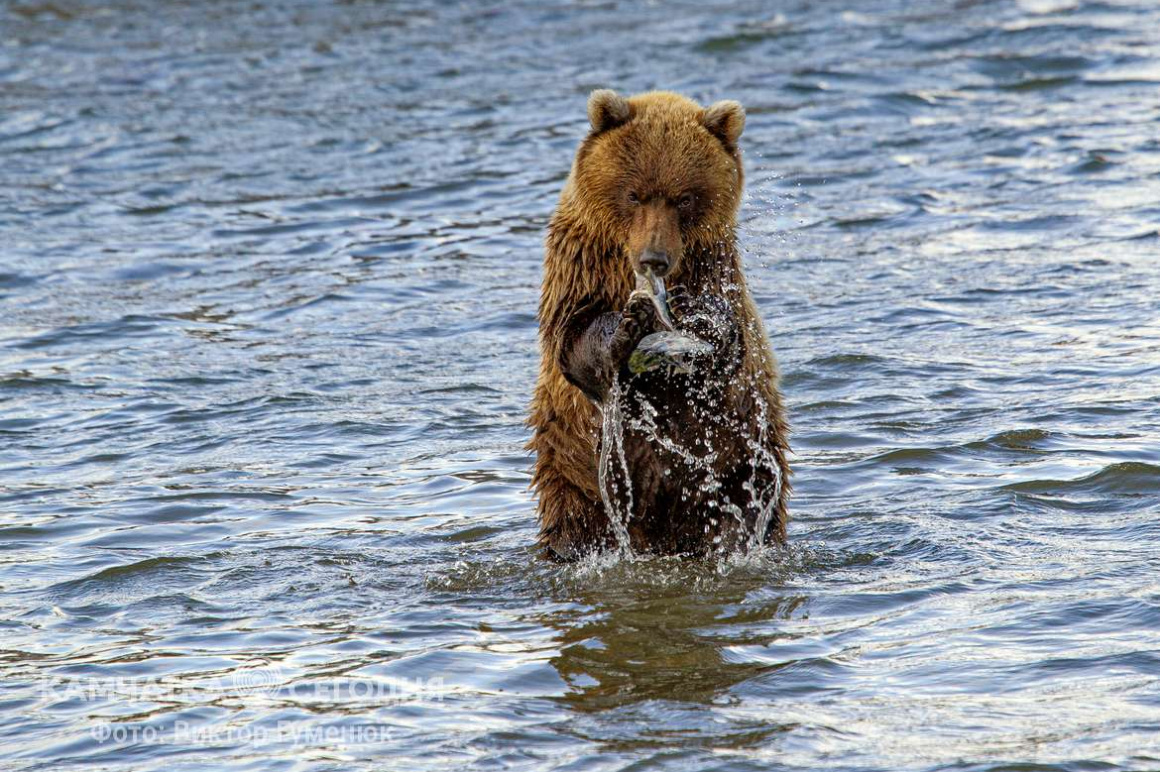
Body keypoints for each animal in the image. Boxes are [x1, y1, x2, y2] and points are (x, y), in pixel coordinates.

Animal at [526, 91, 788, 558]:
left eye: (684, 198)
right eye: (635, 194)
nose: (654, 258)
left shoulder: (714, 269)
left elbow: (726, 344)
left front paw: (689, 317)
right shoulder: (580, 266)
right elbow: (575, 337)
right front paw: (628, 326)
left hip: (741, 456)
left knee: (744, 507)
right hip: (572, 473)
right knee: (575, 524)